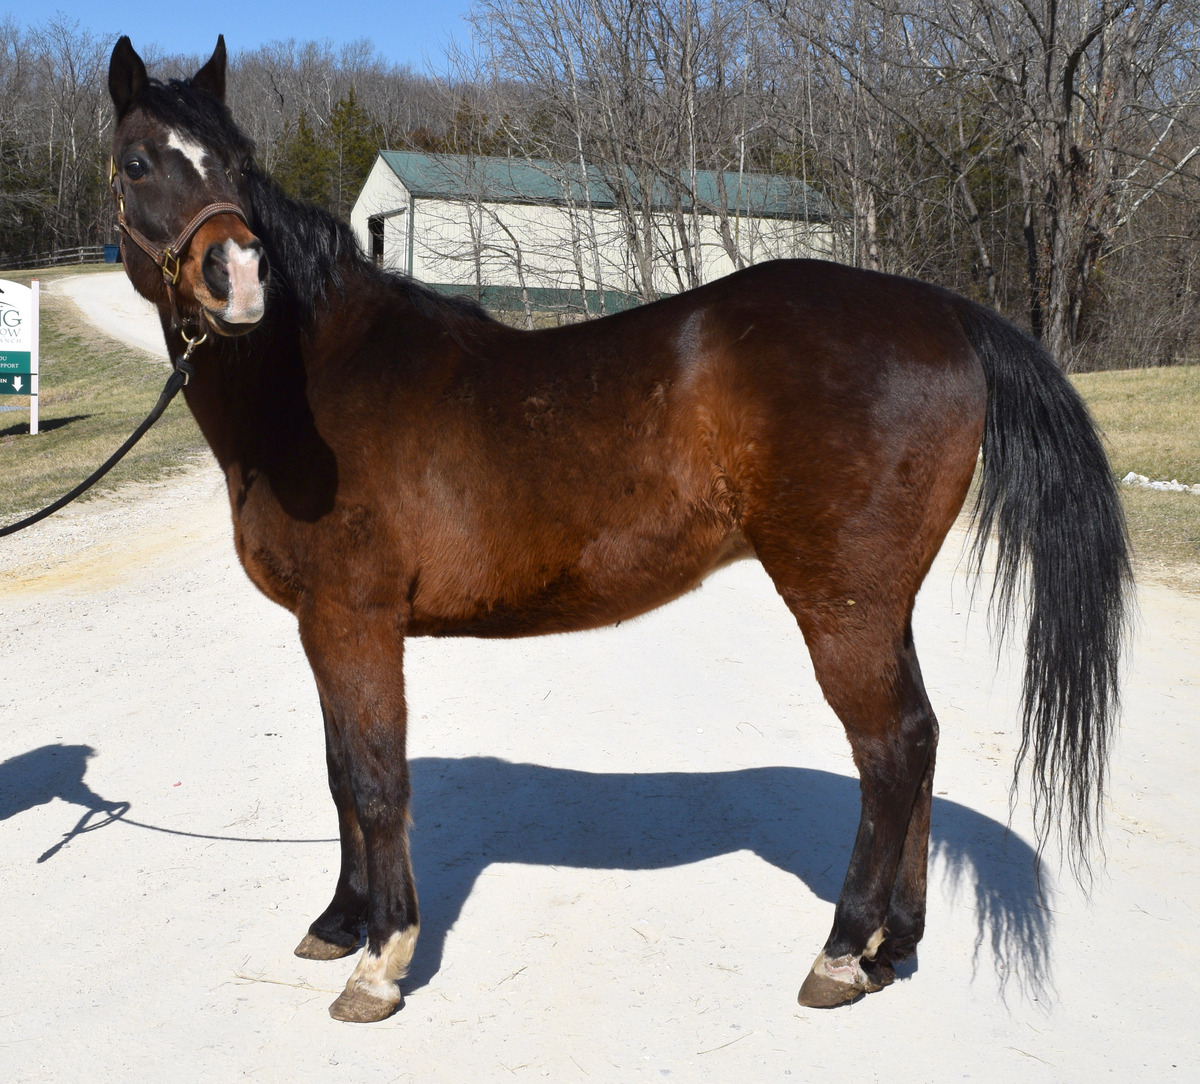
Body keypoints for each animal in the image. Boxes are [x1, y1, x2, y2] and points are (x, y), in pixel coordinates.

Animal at [106, 36, 1129, 1023]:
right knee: (919, 744)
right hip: (882, 602)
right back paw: (893, 946)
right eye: (138, 161)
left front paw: (381, 961)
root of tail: (942, 311)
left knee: (892, 749)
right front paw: (340, 920)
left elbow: (375, 778)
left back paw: (842, 953)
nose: (239, 279)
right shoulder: (322, 627)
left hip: (840, 602)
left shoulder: (355, 620)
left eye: (237, 163)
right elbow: (336, 771)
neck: (318, 383)